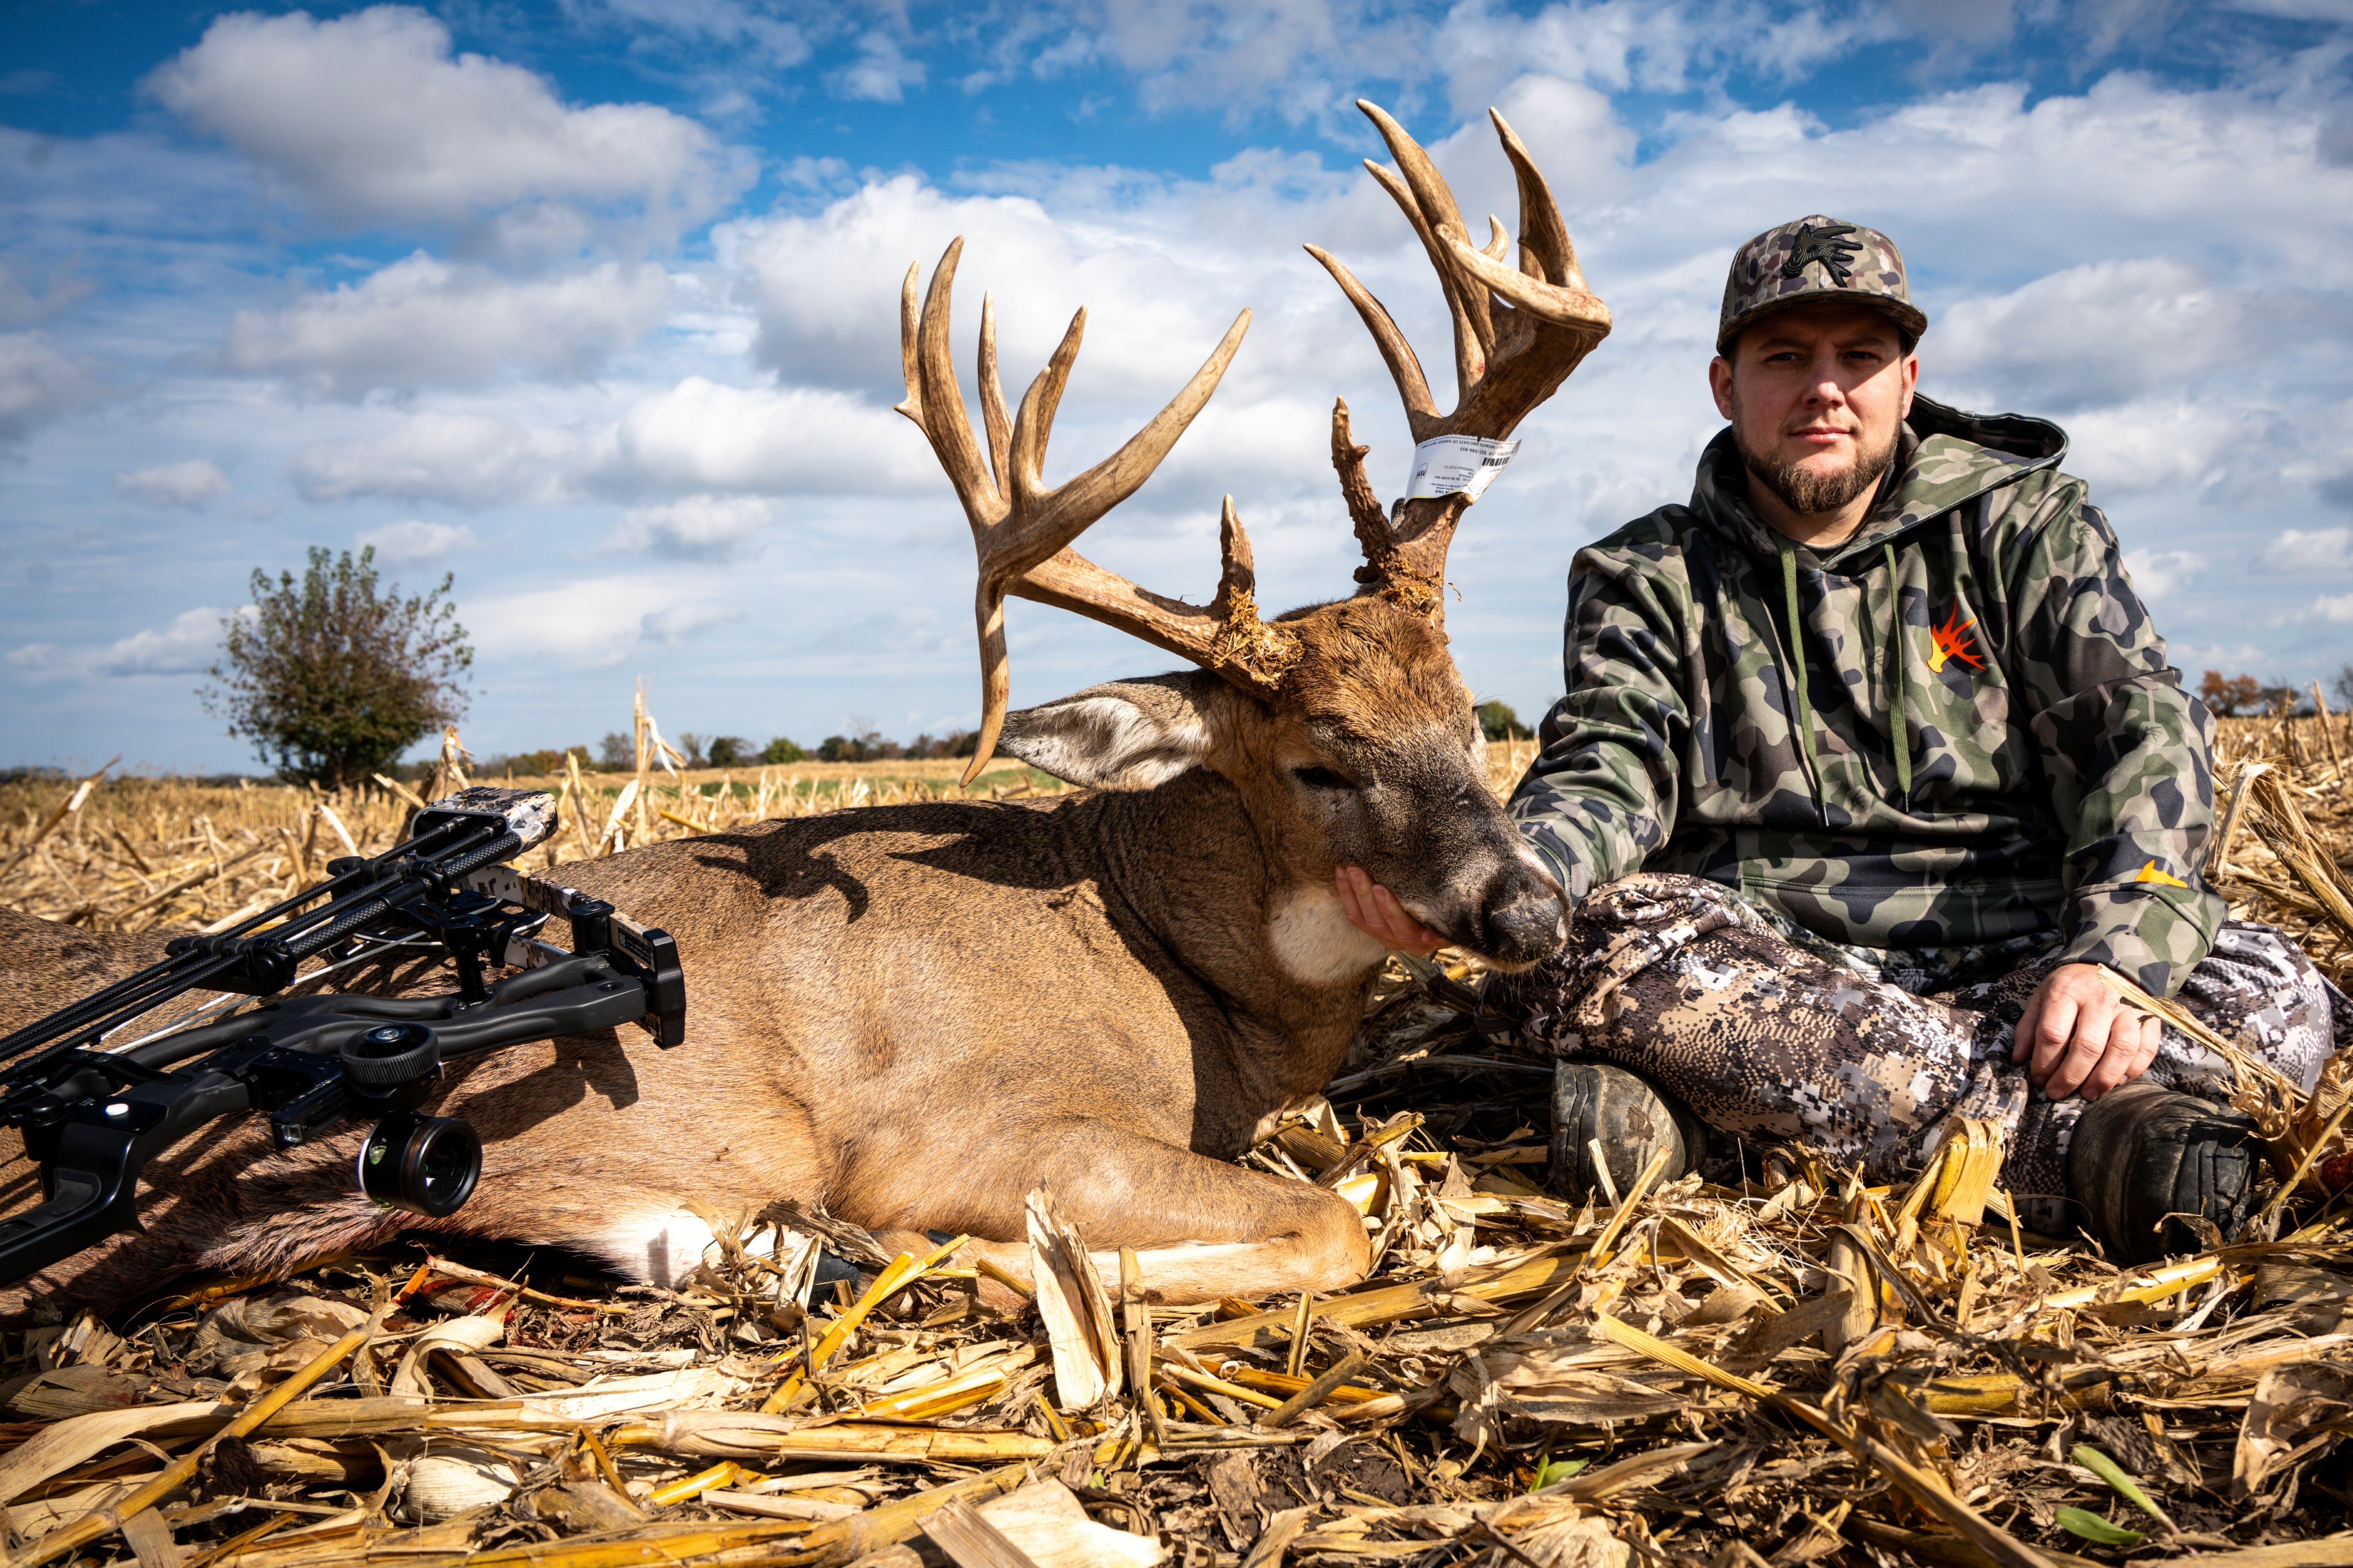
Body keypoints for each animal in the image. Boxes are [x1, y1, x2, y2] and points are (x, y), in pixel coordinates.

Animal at [0, 100, 1610, 1319]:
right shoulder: (969, 1127)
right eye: (1318, 763)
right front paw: (960, 1264)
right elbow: (1330, 1226)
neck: (1170, 956)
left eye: (1467, 712)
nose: (1531, 909)